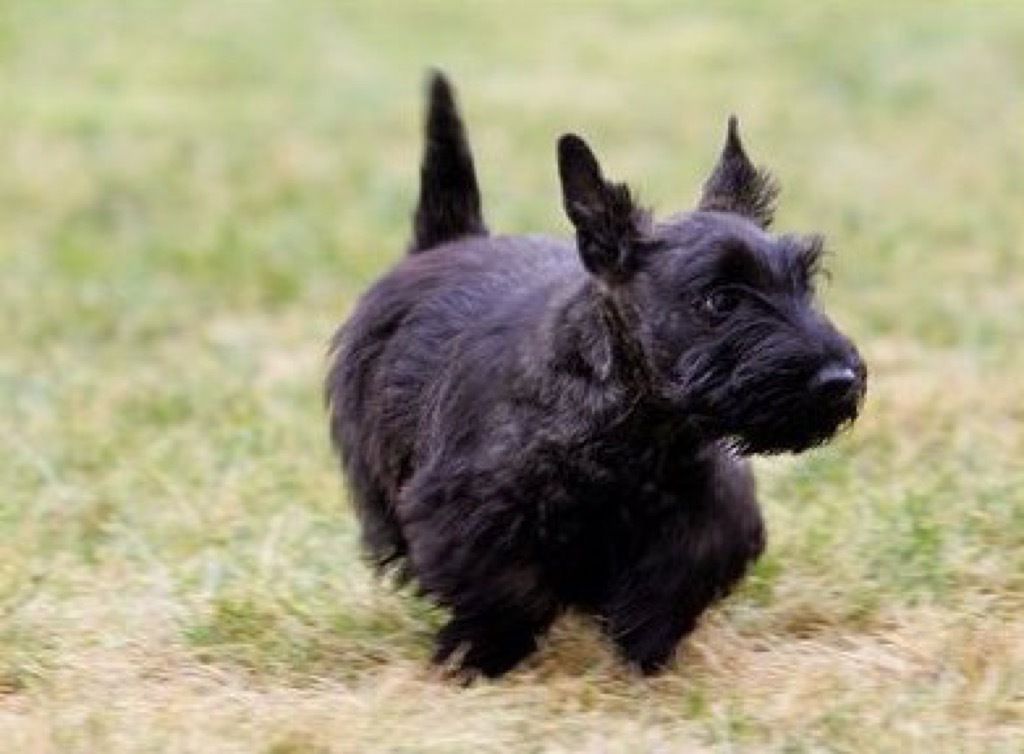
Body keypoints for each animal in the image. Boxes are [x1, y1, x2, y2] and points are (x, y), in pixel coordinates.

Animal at [325, 72, 864, 676]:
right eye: (720, 299)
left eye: (804, 282)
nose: (840, 379)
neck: (638, 424)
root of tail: (448, 241)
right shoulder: (467, 510)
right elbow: (507, 588)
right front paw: (480, 654)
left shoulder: (708, 511)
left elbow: (677, 573)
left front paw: (644, 643)